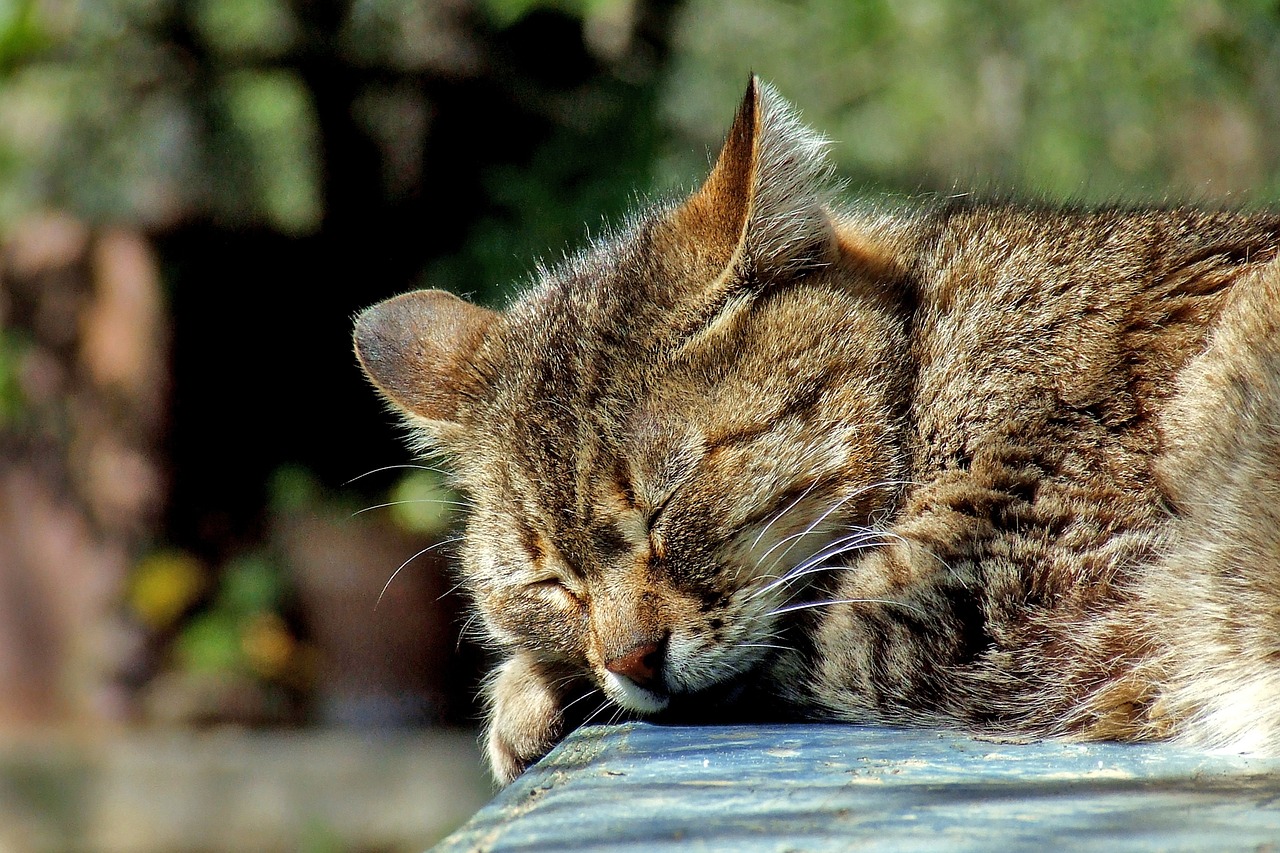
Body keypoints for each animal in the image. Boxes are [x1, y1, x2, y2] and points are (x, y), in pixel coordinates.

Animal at [350, 76, 1280, 778]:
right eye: (549, 581)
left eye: (665, 505)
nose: (631, 661)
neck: (934, 361)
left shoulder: (984, 602)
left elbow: (775, 648)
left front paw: (524, 692)